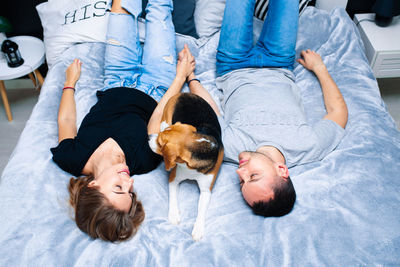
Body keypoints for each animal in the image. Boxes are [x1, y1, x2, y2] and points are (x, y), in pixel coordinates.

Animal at [149, 93, 223, 242]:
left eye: (160, 143)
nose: (148, 137)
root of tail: (183, 93)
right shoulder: (173, 179)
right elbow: (173, 197)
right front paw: (173, 215)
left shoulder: (206, 190)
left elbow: (201, 209)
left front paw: (198, 228)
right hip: (165, 121)